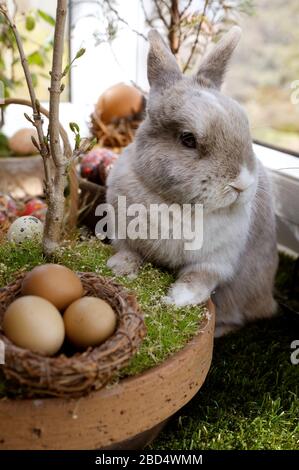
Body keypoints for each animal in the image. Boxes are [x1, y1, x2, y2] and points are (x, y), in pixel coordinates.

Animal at [105, 25, 278, 336]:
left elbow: (199, 278)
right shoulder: (124, 236)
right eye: (188, 139)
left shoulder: (216, 261)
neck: (177, 204)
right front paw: (118, 268)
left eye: (245, 127)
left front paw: (177, 299)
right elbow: (128, 253)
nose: (242, 184)